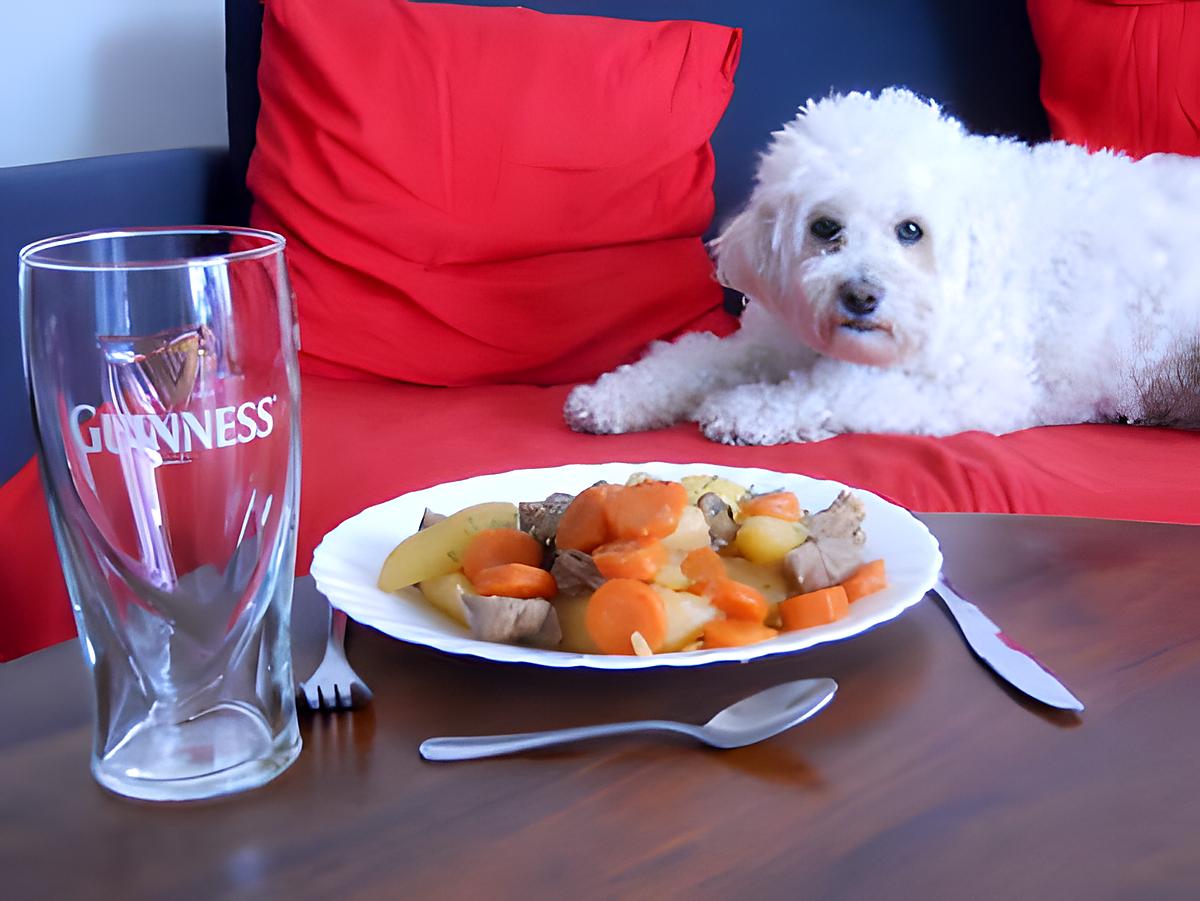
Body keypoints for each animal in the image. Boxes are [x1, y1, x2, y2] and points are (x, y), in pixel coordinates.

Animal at [561, 86, 1200, 446]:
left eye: (910, 231)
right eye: (825, 228)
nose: (860, 296)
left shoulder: (980, 389)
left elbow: (842, 387)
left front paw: (744, 410)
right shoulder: (774, 339)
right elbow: (693, 359)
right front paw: (615, 398)